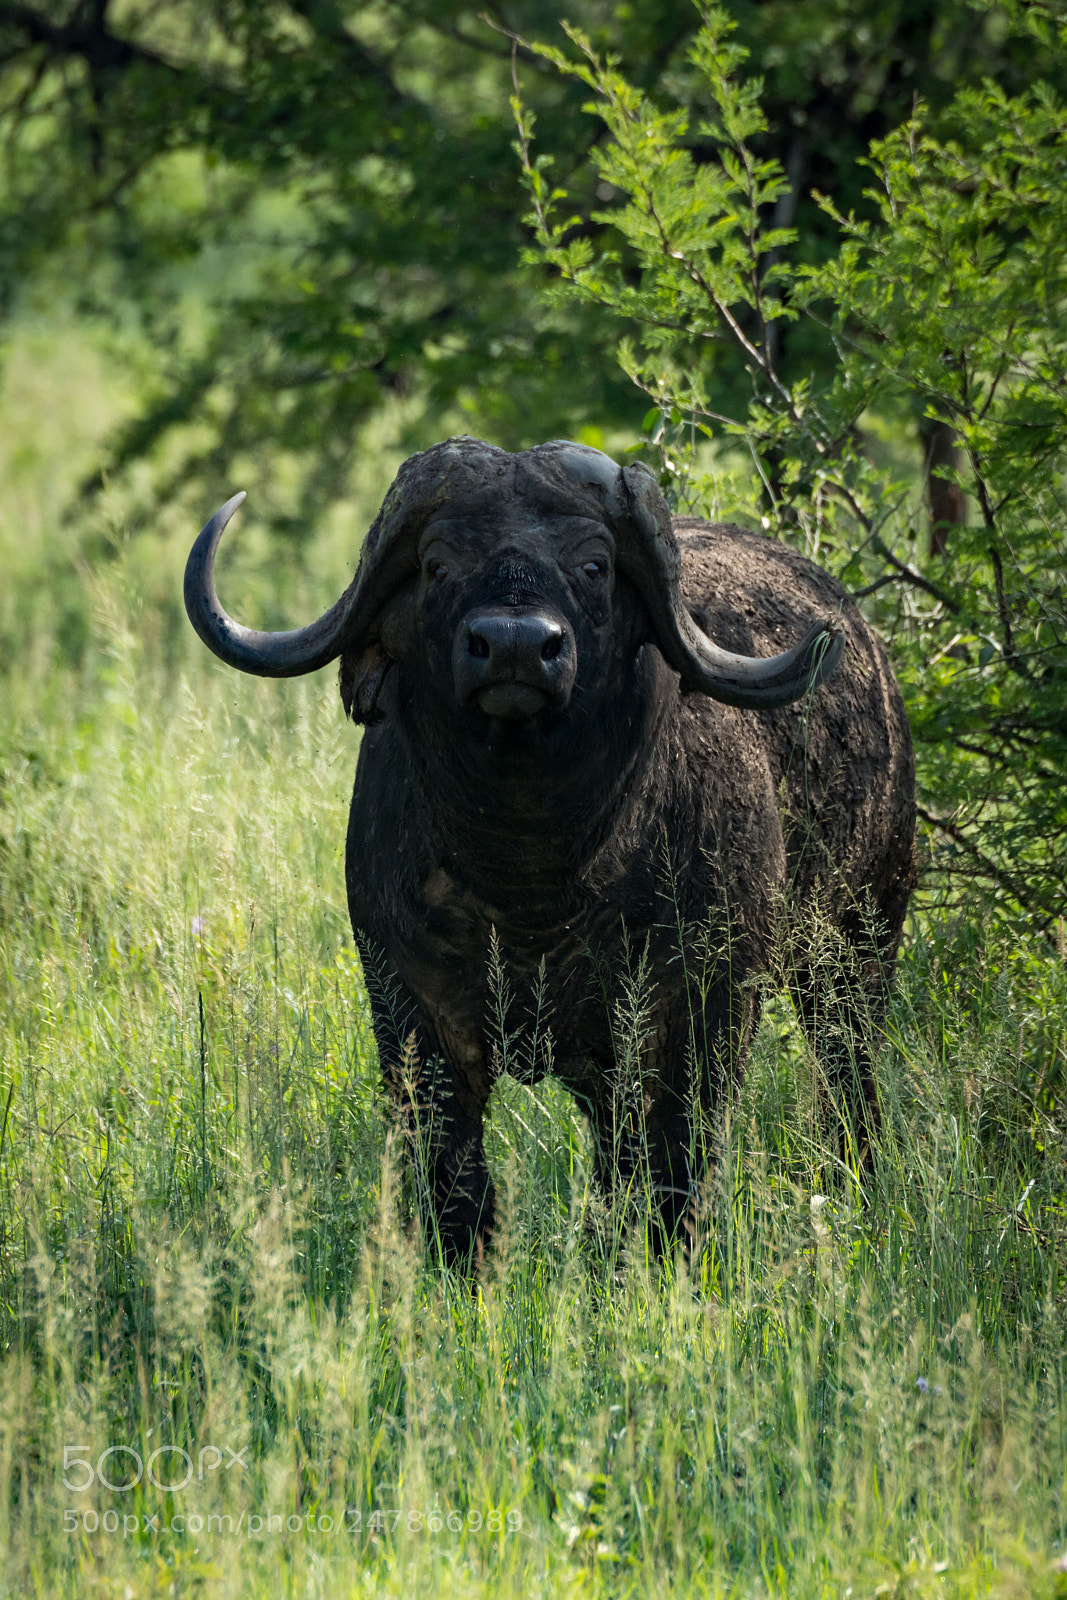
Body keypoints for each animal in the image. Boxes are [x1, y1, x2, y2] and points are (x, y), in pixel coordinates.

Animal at [185, 436, 916, 1263]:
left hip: (856, 945)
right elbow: (455, 1182)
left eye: (593, 564)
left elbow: (677, 1167)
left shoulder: (701, 1009)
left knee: (845, 1078)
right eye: (437, 564)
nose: (514, 648)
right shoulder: (408, 1014)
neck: (529, 878)